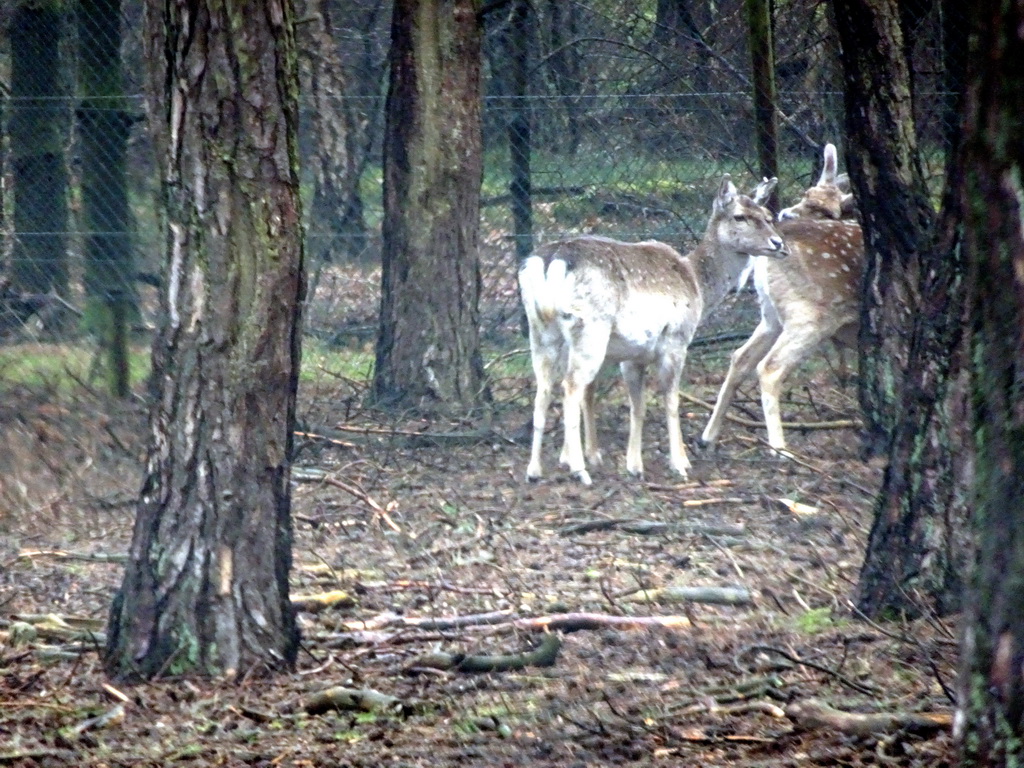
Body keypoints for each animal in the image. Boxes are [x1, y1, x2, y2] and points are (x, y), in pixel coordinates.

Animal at [516, 177, 786, 483]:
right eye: (739, 216)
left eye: (767, 217)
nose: (777, 242)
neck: (698, 286)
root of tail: (549, 262)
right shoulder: (676, 339)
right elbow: (671, 401)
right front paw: (680, 463)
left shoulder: (633, 355)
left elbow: (639, 406)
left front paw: (634, 465)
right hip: (589, 330)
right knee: (570, 387)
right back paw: (579, 470)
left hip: (541, 330)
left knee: (544, 388)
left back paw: (534, 470)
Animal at [700, 144, 860, 454]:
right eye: (806, 196)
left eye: (828, 210)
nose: (783, 215)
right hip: (810, 315)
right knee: (770, 367)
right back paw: (780, 449)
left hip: (772, 314)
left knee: (740, 357)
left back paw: (708, 435)